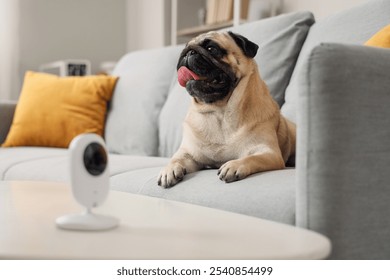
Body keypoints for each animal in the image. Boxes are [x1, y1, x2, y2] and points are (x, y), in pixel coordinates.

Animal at [157, 31, 294, 188]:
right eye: (184, 48)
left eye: (211, 48)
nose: (188, 52)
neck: (220, 111)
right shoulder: (189, 153)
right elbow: (176, 158)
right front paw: (169, 169)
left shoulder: (268, 152)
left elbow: (251, 158)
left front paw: (234, 165)